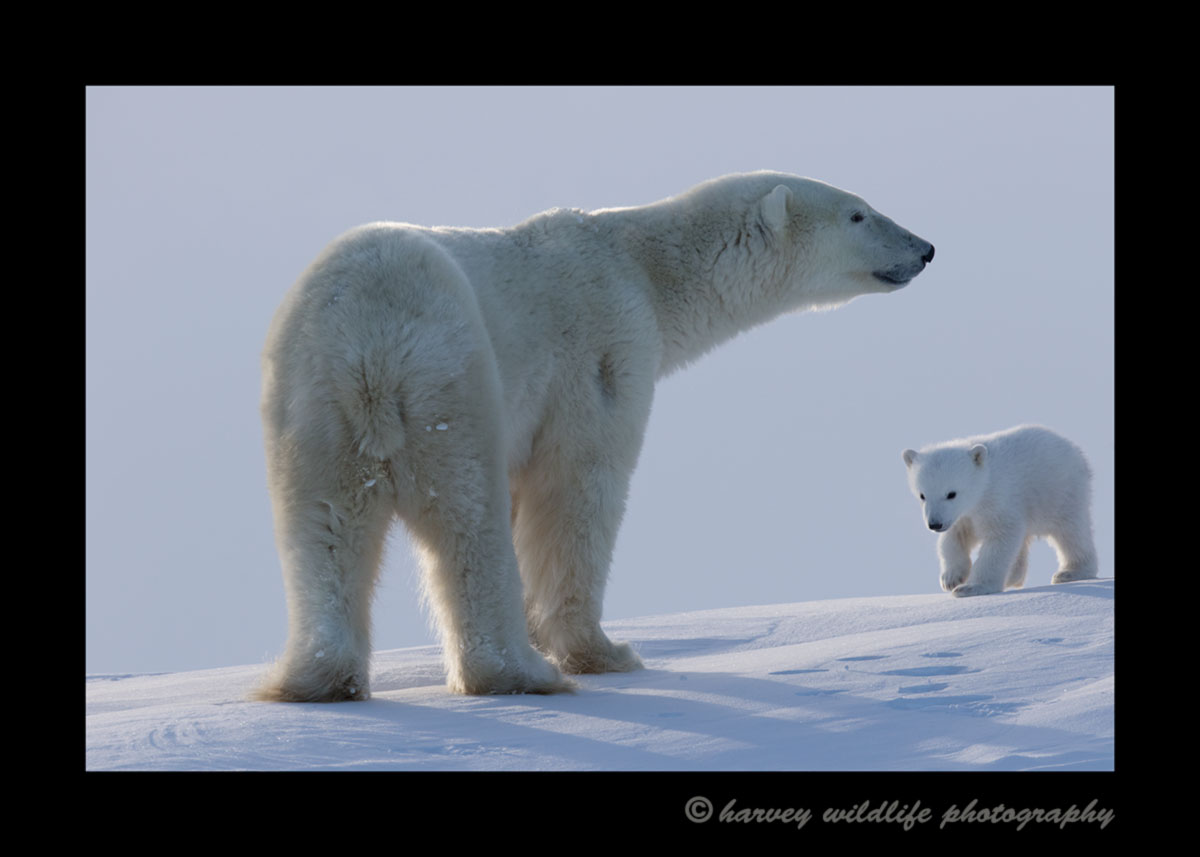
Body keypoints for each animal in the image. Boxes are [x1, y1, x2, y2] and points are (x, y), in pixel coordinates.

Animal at [253, 170, 931, 696]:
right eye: (859, 213)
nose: (925, 247)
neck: (642, 267)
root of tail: (370, 347)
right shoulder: (602, 348)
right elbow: (577, 488)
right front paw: (601, 652)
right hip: (450, 377)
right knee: (467, 518)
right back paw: (517, 673)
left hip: (309, 402)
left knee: (323, 528)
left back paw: (320, 680)